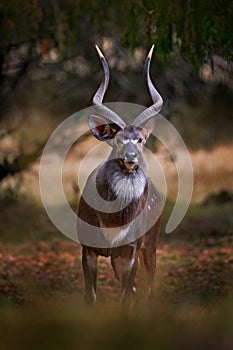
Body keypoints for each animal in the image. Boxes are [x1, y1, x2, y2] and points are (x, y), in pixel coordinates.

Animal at [77, 44, 163, 308]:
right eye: (117, 138)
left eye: (141, 139)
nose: (131, 158)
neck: (112, 220)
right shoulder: (87, 249)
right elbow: (91, 297)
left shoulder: (131, 251)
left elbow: (126, 298)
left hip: (150, 248)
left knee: (147, 288)